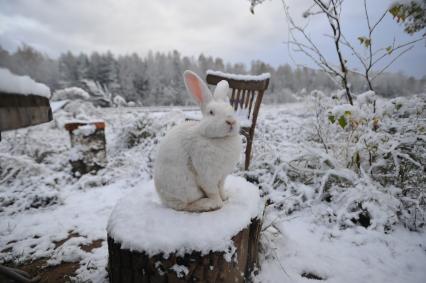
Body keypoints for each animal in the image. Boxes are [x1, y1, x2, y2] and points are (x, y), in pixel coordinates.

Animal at [154, 70, 243, 213]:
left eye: (231, 109)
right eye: (211, 112)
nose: (231, 121)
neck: (220, 139)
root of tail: (164, 199)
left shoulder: (222, 176)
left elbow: (221, 188)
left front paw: (225, 197)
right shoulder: (206, 176)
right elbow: (213, 192)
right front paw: (218, 203)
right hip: (186, 189)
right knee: (185, 206)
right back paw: (207, 205)